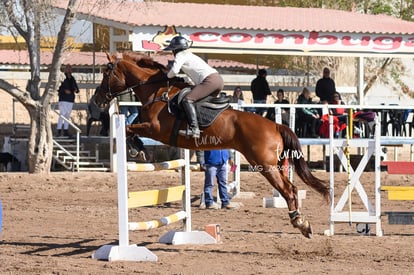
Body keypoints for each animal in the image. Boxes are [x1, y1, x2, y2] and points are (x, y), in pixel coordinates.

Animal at [95, 52, 328, 239]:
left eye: (106, 74)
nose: (97, 100)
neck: (157, 92)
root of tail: (276, 125)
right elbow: (131, 126)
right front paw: (139, 148)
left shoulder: (155, 129)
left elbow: (128, 128)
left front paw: (137, 148)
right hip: (275, 164)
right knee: (293, 188)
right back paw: (302, 222)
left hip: (265, 165)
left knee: (287, 189)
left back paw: (299, 222)